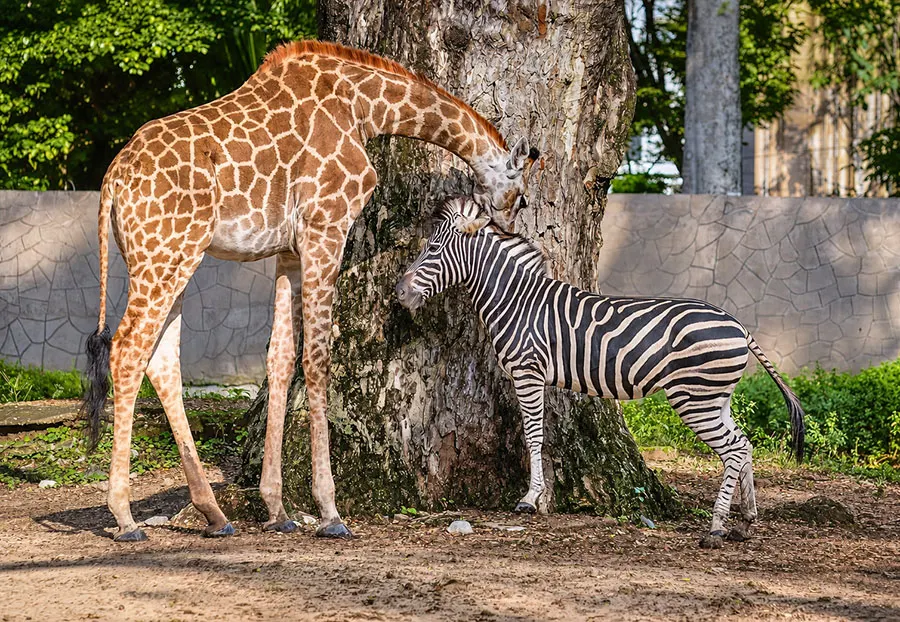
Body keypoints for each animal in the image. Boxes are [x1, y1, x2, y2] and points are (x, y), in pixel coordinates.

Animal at [81, 41, 539, 542]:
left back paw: (214, 514)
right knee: (127, 349)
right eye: (520, 196)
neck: (363, 108)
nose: (512, 229)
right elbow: (317, 361)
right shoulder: (326, 227)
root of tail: (111, 180)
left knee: (162, 360)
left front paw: (277, 508)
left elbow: (280, 358)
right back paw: (125, 517)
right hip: (166, 252)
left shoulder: (287, 250)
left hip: (170, 255)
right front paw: (329, 511)